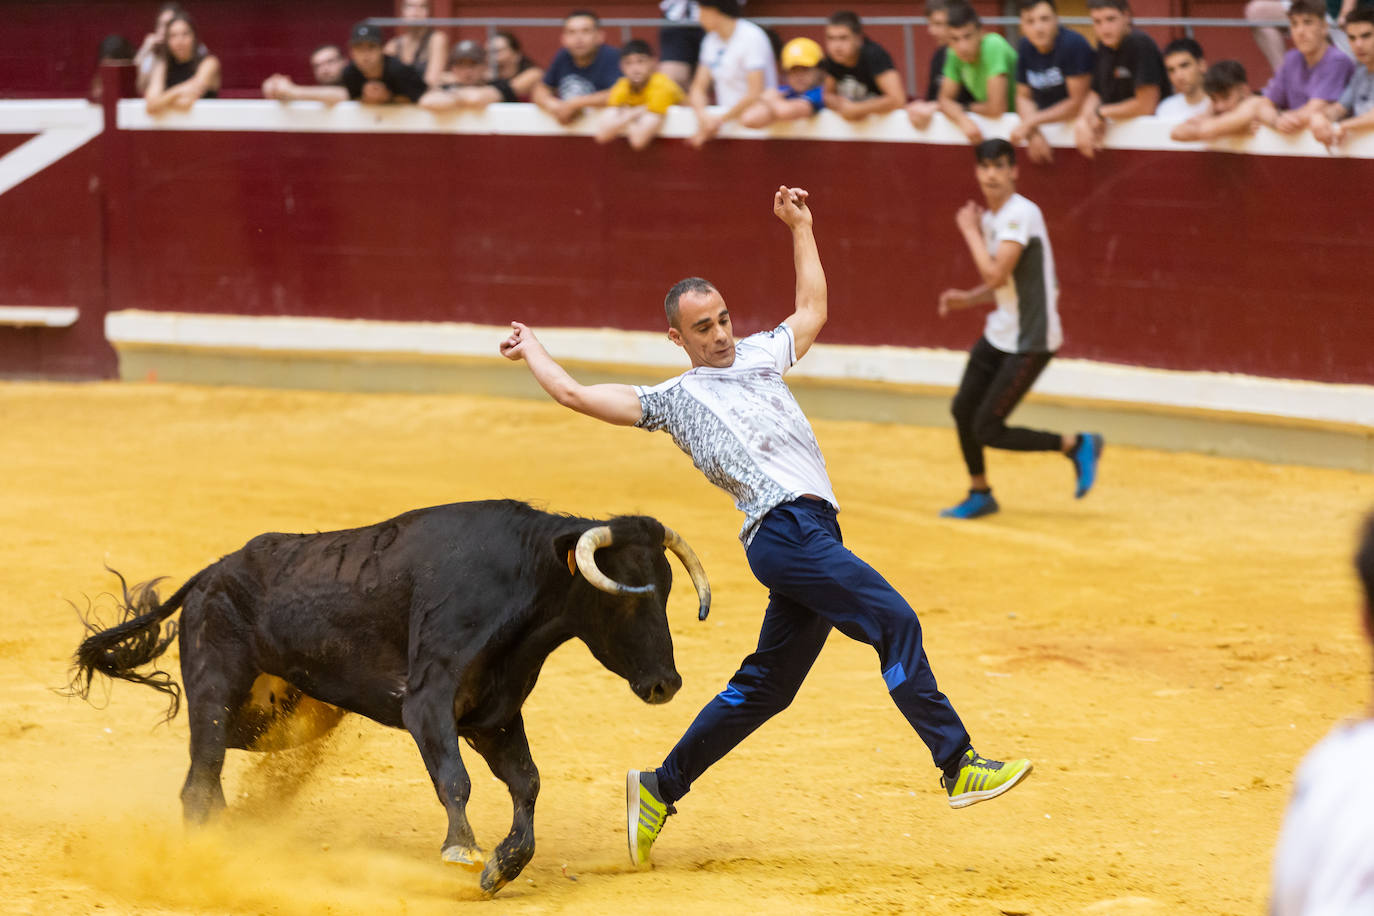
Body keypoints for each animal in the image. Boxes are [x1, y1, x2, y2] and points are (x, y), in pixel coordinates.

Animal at [66, 502, 708, 895]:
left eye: (667, 590)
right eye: (624, 596)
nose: (666, 684)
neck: (526, 578)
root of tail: (207, 576)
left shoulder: (493, 716)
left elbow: (526, 782)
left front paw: (502, 866)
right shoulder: (427, 702)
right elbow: (455, 779)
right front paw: (462, 852)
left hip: (266, 718)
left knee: (211, 776)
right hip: (213, 694)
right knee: (199, 781)